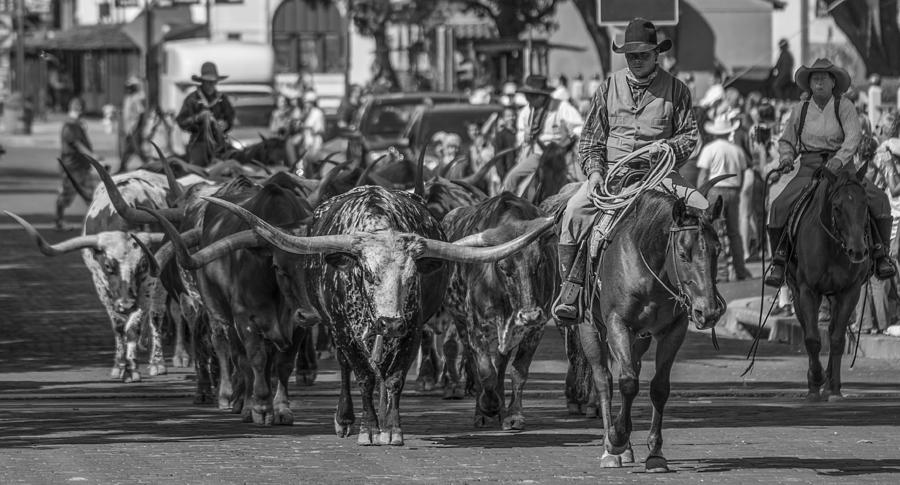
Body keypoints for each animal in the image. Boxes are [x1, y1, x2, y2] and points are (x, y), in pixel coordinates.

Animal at [548, 177, 732, 468]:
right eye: (682, 253)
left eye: (718, 250)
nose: (708, 311)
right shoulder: (617, 324)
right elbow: (627, 383)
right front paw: (616, 439)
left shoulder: (673, 330)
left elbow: (659, 386)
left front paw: (655, 453)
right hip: (589, 327)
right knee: (604, 380)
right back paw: (611, 448)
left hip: (639, 338)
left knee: (630, 368)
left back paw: (626, 448)